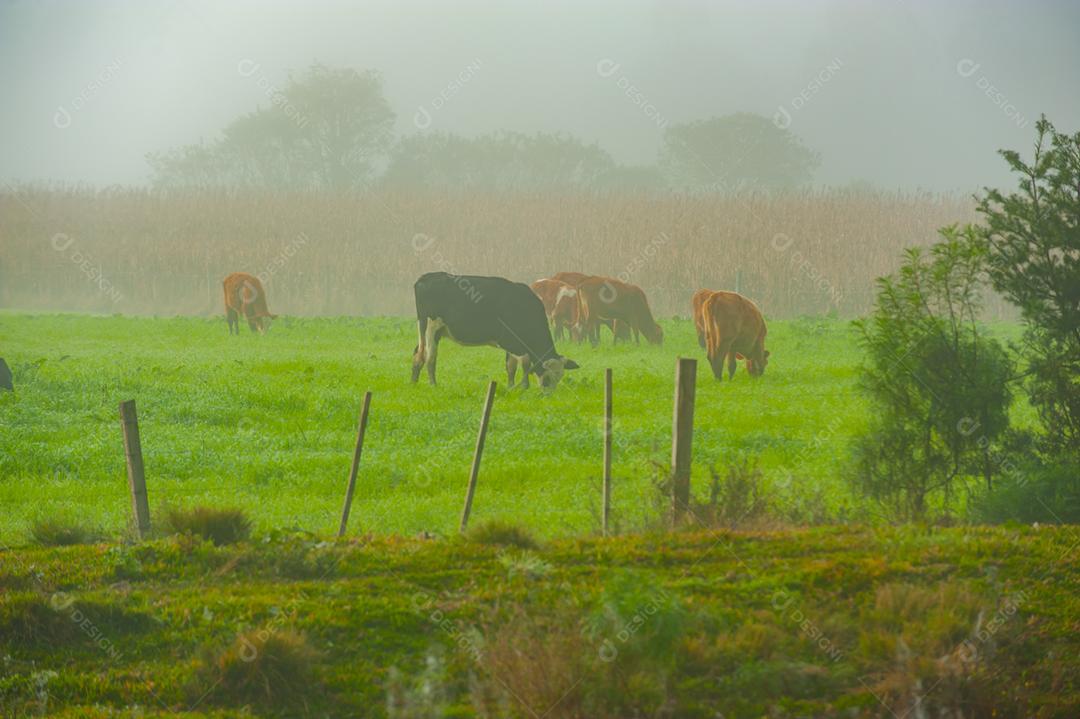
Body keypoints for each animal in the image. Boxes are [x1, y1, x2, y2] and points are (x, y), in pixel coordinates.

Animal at [411, 272, 579, 390]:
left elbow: (511, 366)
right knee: (430, 357)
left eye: (560, 376)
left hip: (431, 330)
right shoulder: (511, 341)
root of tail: (426, 277)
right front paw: (524, 387)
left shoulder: (513, 343)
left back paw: (414, 381)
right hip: (431, 326)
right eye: (548, 378)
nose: (548, 394)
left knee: (418, 353)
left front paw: (511, 387)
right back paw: (433, 384)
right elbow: (524, 363)